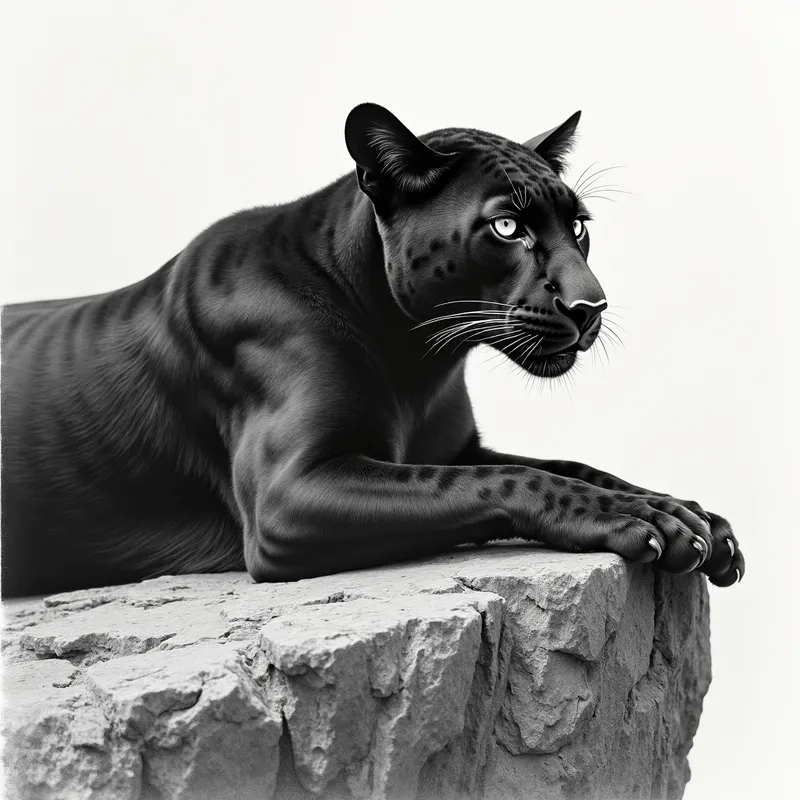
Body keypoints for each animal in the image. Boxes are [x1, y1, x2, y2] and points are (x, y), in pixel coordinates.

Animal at [0, 102, 744, 597]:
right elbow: (503, 480)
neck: (420, 363)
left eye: (579, 227)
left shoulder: (456, 447)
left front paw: (687, 514)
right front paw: (637, 520)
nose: (592, 306)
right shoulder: (290, 494)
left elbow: (568, 464)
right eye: (507, 227)